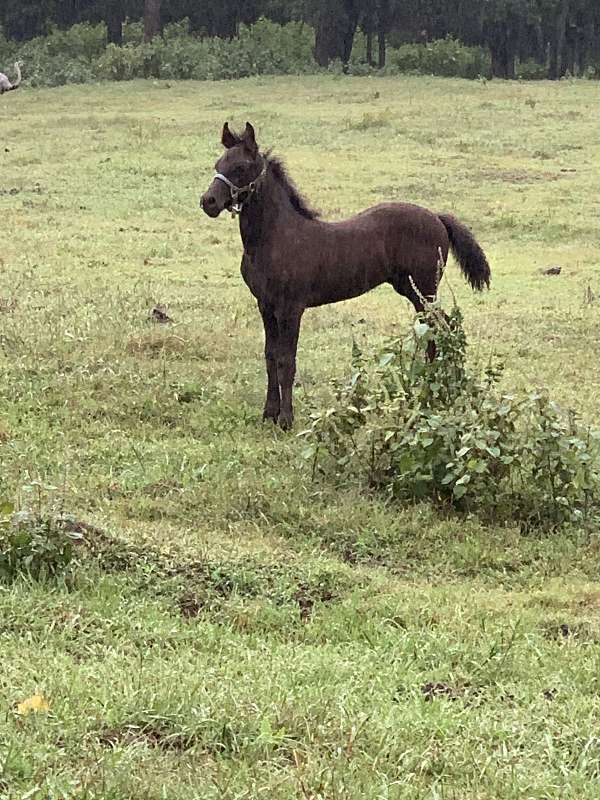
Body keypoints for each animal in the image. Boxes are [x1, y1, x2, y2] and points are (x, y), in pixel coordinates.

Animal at [199, 121, 490, 428]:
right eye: (218, 163)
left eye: (241, 167)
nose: (208, 201)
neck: (275, 238)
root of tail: (437, 217)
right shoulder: (265, 305)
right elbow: (270, 356)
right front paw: (268, 414)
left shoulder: (291, 308)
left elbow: (286, 360)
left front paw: (287, 420)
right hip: (411, 290)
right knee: (438, 326)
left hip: (424, 289)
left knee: (441, 326)